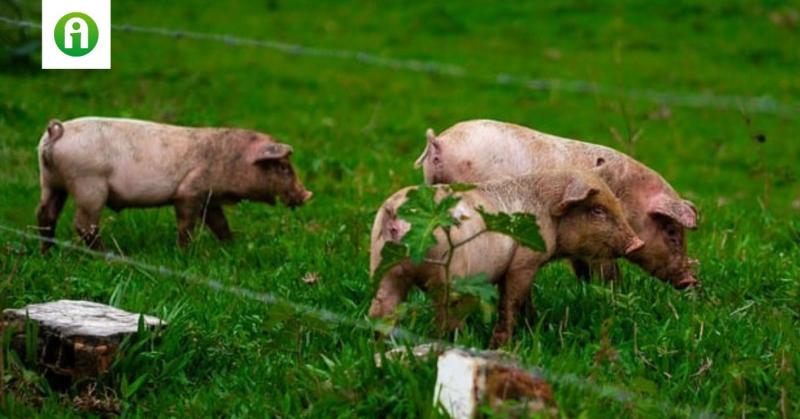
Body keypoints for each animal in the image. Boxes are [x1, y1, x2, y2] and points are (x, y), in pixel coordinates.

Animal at [36, 116, 312, 251]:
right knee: (83, 225)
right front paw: (184, 253)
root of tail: (55, 133)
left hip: (50, 182)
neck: (230, 159)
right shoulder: (189, 191)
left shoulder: (209, 198)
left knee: (45, 215)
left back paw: (47, 252)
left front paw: (232, 246)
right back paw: (109, 256)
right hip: (89, 186)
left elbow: (219, 223)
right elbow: (186, 225)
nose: (308, 194)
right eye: (283, 167)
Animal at [368, 168, 644, 348]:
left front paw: (533, 324)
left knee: (381, 308)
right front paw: (504, 345)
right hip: (450, 277)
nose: (637, 243)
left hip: (382, 265)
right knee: (445, 314)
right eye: (597, 210)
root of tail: (396, 212)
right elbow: (511, 300)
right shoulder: (524, 260)